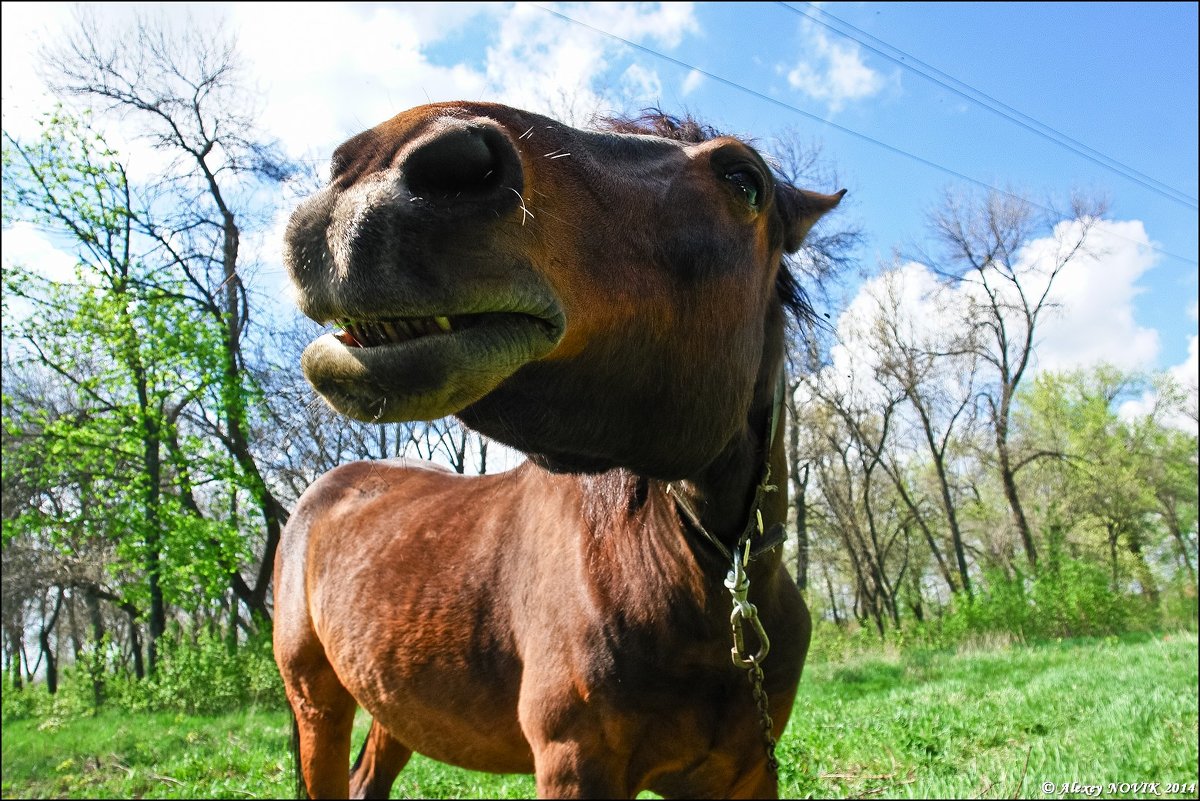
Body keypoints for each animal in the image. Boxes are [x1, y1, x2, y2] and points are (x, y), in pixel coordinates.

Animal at [274, 98, 844, 796]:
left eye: (745, 181)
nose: (374, 166)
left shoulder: (746, 776)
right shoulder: (576, 765)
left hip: (395, 706)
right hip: (317, 702)